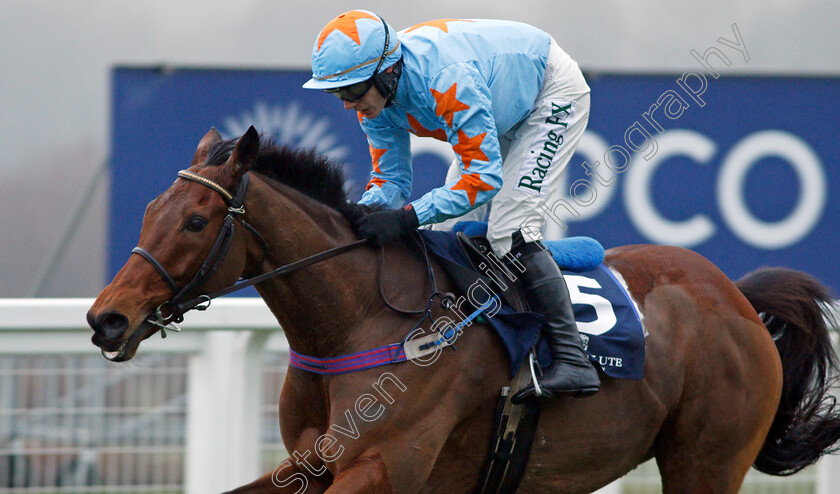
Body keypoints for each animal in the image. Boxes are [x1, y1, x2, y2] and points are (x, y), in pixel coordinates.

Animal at [87, 128, 840, 494]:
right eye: (152, 210)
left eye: (194, 221)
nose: (106, 319)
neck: (358, 321)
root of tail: (734, 296)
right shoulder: (309, 465)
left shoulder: (383, 466)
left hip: (705, 460)